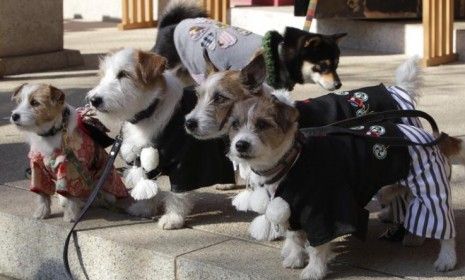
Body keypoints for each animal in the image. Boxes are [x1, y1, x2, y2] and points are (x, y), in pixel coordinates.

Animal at [10, 83, 129, 221]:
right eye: (19, 101)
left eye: (35, 103)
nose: (14, 116)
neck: (50, 134)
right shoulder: (37, 170)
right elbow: (42, 195)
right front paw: (41, 213)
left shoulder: (69, 170)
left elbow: (70, 197)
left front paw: (71, 216)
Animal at [228, 94, 456, 280]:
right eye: (234, 125)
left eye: (263, 124)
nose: (240, 144)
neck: (292, 161)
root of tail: (429, 137)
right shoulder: (291, 208)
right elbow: (294, 237)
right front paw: (295, 258)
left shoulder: (321, 212)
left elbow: (317, 246)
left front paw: (314, 270)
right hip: (408, 189)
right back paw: (415, 237)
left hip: (430, 188)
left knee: (444, 228)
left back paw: (446, 259)